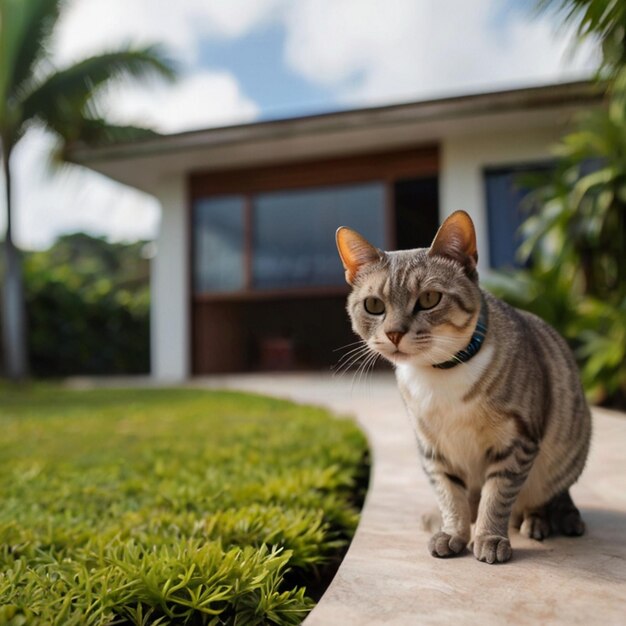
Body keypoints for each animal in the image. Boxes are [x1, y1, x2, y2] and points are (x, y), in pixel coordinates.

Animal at [334, 208, 588, 560]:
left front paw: (489, 537)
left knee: (549, 496)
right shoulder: (434, 447)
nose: (395, 333)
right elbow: (450, 494)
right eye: (374, 305)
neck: (440, 375)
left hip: (564, 453)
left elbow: (497, 495)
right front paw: (454, 531)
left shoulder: (517, 441)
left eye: (429, 298)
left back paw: (540, 520)